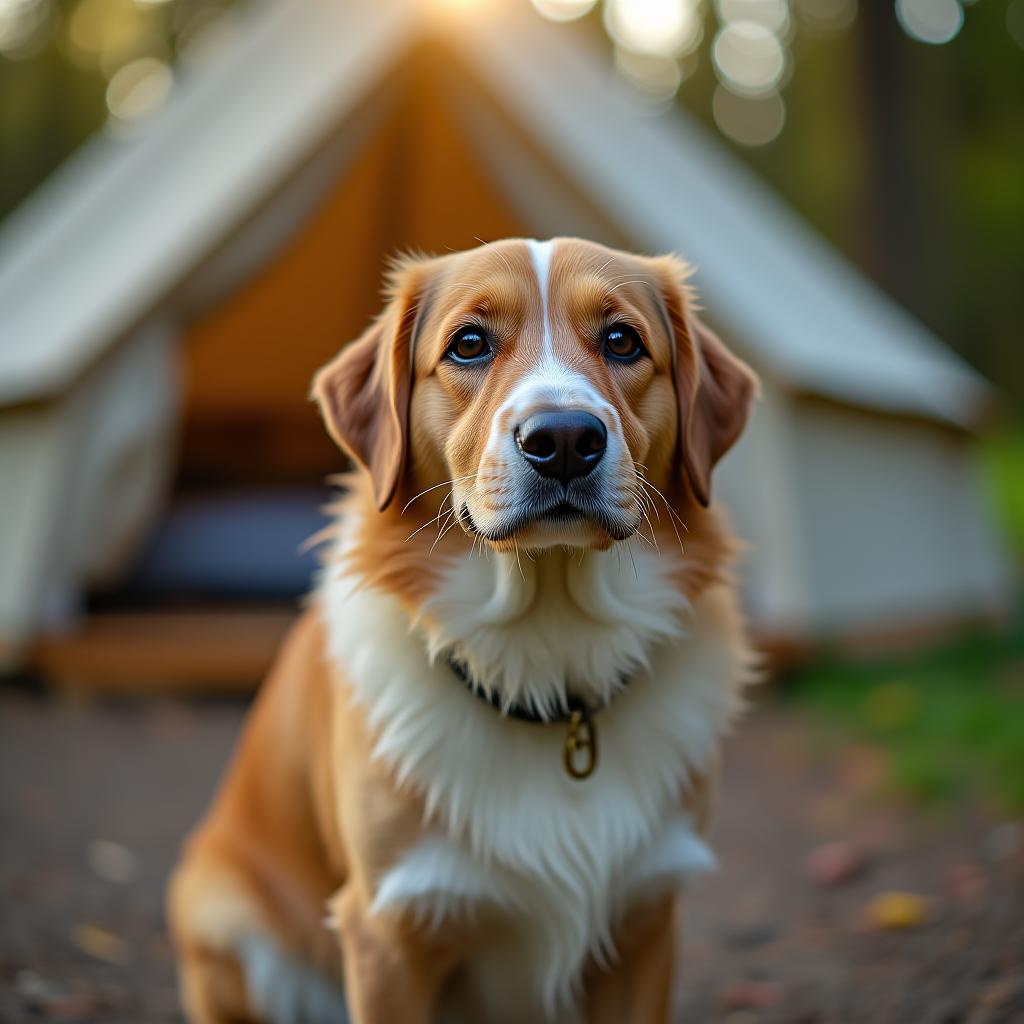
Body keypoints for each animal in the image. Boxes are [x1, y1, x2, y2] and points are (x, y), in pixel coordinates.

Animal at [167, 237, 757, 1024]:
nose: (563, 439)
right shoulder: (387, 931)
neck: (546, 656)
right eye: (469, 344)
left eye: (622, 341)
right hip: (222, 915)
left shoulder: (645, 922)